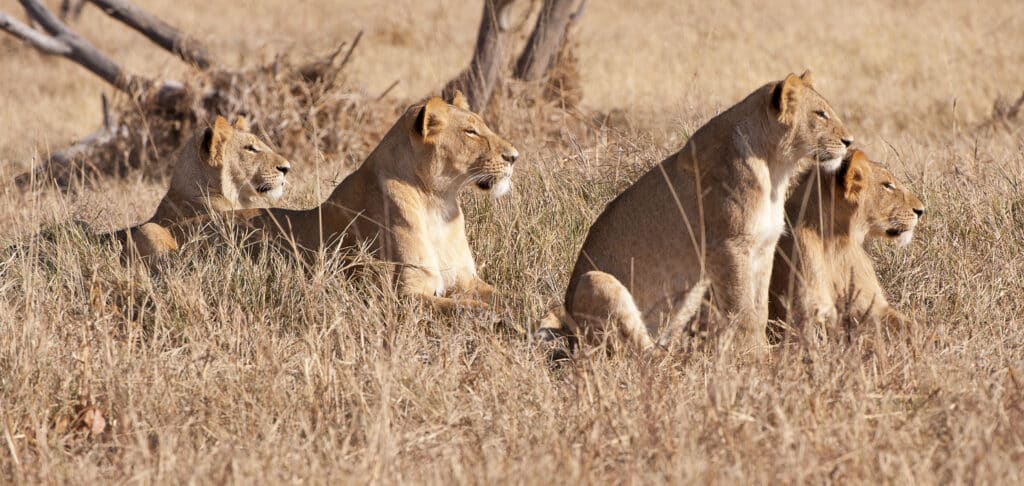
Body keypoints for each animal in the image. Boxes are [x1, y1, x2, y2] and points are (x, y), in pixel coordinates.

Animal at [180, 91, 516, 311]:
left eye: (482, 126)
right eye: (471, 132)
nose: (514, 156)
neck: (438, 203)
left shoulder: (467, 280)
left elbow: (507, 295)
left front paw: (524, 307)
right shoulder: (406, 294)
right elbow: (469, 309)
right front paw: (506, 321)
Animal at [540, 71, 851, 358]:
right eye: (820, 113)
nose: (849, 141)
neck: (775, 168)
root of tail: (569, 338)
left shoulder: (764, 247)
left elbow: (759, 308)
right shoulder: (728, 247)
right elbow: (742, 310)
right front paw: (756, 357)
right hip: (595, 280)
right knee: (637, 354)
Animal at [770, 149, 929, 335]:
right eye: (887, 185)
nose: (921, 210)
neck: (834, 240)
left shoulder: (872, 304)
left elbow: (912, 326)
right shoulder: (804, 315)